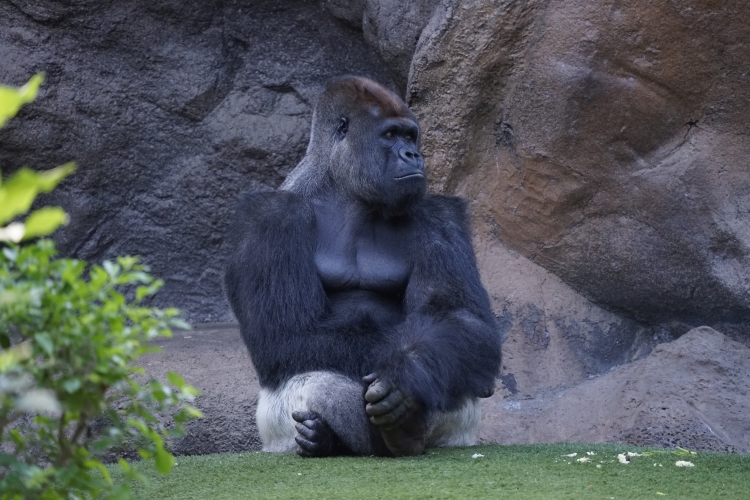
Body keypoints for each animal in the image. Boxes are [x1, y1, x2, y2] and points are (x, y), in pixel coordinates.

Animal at [226, 75, 502, 458]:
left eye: (410, 136)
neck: (343, 192)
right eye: (390, 135)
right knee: (315, 383)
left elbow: (461, 318)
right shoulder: (269, 217)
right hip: (274, 431)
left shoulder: (438, 217)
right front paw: (401, 377)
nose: (413, 155)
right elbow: (289, 335)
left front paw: (409, 370)